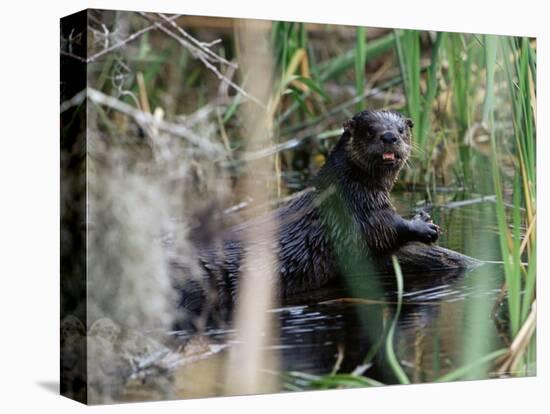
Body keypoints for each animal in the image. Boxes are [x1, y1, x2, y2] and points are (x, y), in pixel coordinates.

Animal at [175, 110, 442, 330]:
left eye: (401, 130)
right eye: (369, 131)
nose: (389, 137)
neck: (345, 189)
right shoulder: (361, 212)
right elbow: (387, 229)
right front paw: (423, 225)